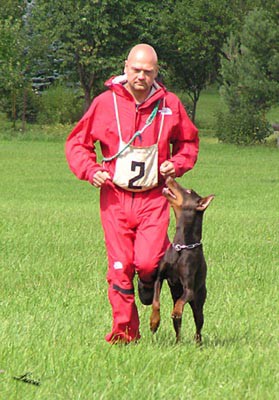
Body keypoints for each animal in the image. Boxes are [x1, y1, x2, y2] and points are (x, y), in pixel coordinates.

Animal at [151, 178, 214, 344]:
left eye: (189, 191)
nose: (169, 178)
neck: (181, 246)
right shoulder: (159, 278)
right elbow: (155, 302)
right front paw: (154, 322)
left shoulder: (189, 289)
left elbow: (181, 301)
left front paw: (177, 310)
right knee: (177, 327)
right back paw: (177, 343)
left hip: (199, 303)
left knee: (198, 326)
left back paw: (198, 343)